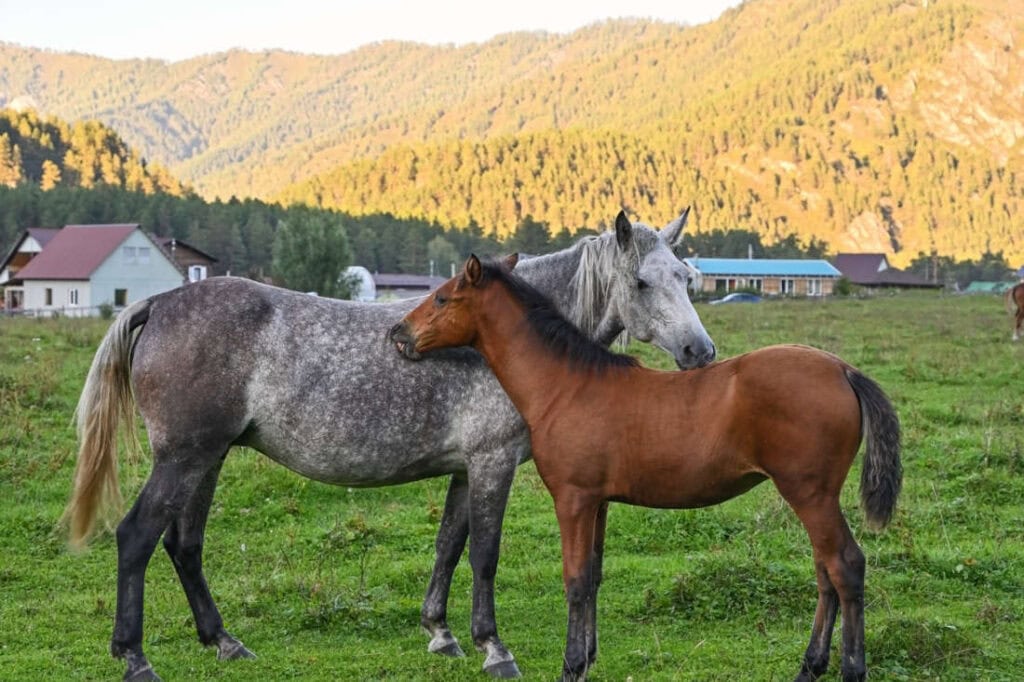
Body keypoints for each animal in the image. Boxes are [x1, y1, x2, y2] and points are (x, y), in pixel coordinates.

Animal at [64, 210, 716, 682]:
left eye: (687, 280)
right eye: (641, 282)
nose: (700, 352)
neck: (504, 343)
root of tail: (158, 303)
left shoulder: (465, 468)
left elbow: (450, 545)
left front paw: (441, 633)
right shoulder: (493, 462)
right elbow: (485, 554)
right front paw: (494, 647)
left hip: (208, 458)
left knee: (185, 544)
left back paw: (224, 642)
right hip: (185, 457)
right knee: (138, 537)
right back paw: (135, 658)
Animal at [390, 255, 902, 682]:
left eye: (442, 297)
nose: (398, 334)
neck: (566, 385)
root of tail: (843, 370)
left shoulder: (573, 499)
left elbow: (575, 581)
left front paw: (570, 665)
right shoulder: (597, 502)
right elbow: (593, 577)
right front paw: (586, 659)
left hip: (809, 494)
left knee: (845, 567)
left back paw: (851, 669)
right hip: (812, 497)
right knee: (825, 572)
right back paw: (809, 667)